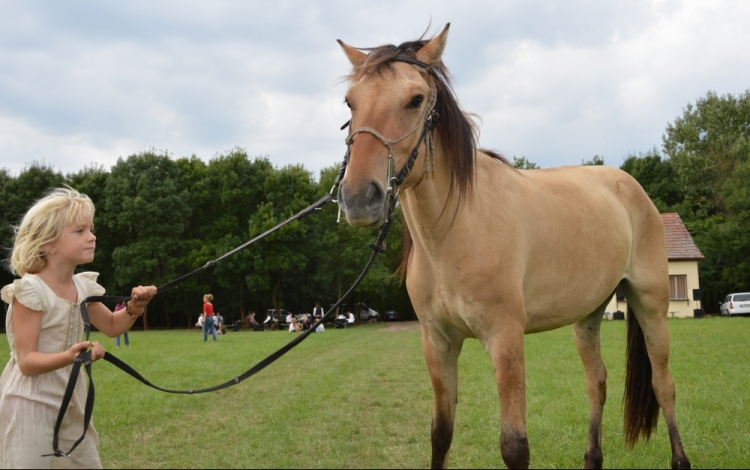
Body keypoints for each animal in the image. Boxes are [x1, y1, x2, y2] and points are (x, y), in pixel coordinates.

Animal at [334, 23, 692, 468]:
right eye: (350, 102)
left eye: (415, 100)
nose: (358, 198)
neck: (456, 230)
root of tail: (631, 187)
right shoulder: (438, 344)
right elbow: (440, 434)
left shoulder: (505, 340)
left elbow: (514, 445)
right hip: (588, 315)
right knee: (597, 383)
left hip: (650, 304)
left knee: (664, 385)